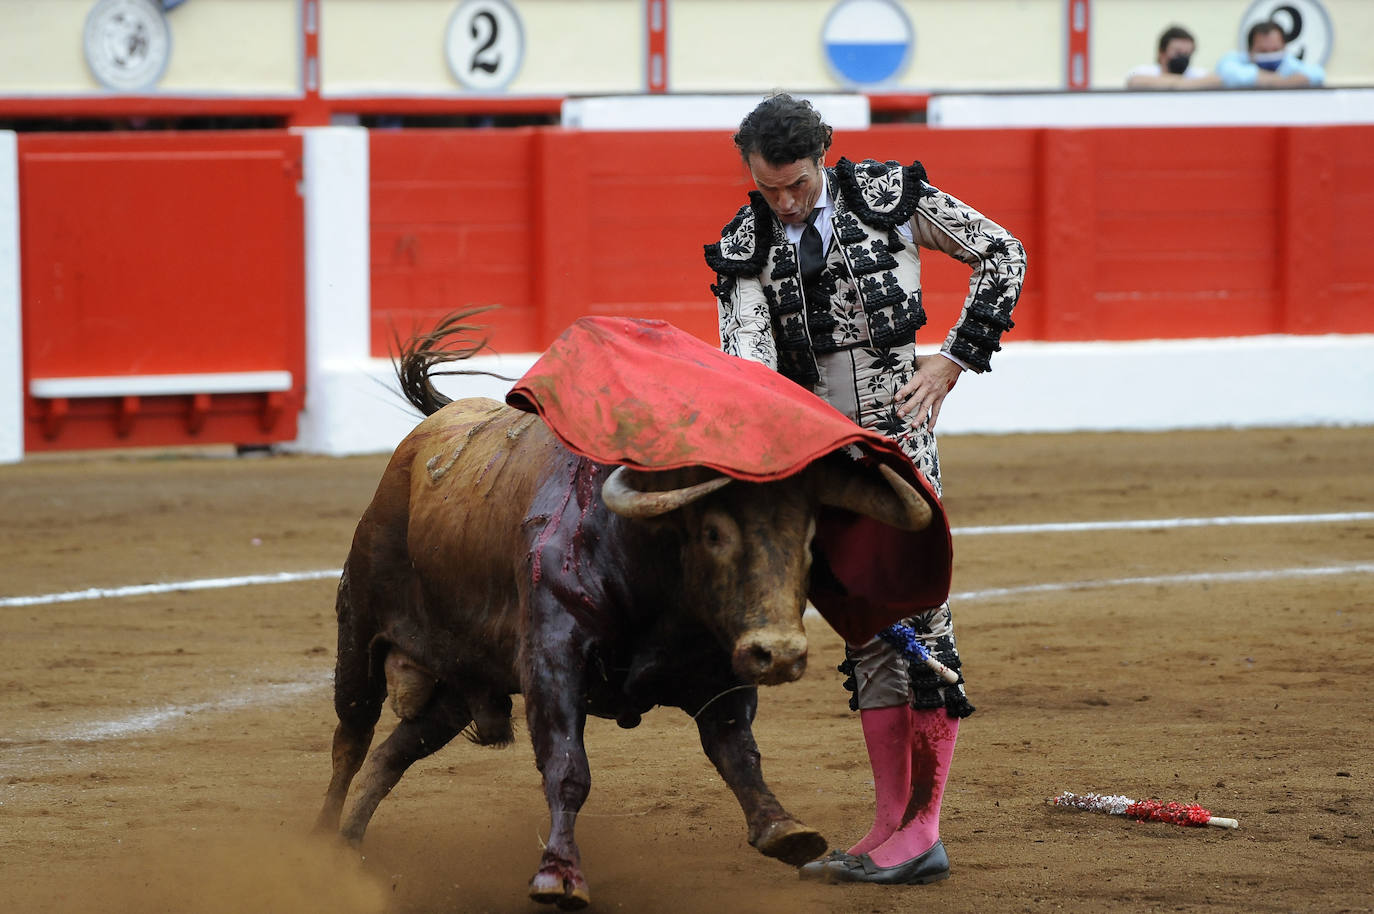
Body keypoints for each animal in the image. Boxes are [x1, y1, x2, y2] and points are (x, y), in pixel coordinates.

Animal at [314, 313, 934, 907]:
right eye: (712, 533)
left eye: (809, 540)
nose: (779, 653)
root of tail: (423, 438)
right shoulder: (552, 661)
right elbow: (567, 768)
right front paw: (559, 876)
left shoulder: (721, 669)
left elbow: (737, 751)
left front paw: (784, 829)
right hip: (360, 627)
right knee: (352, 738)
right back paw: (320, 844)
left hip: (459, 682)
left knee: (394, 753)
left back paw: (347, 848)